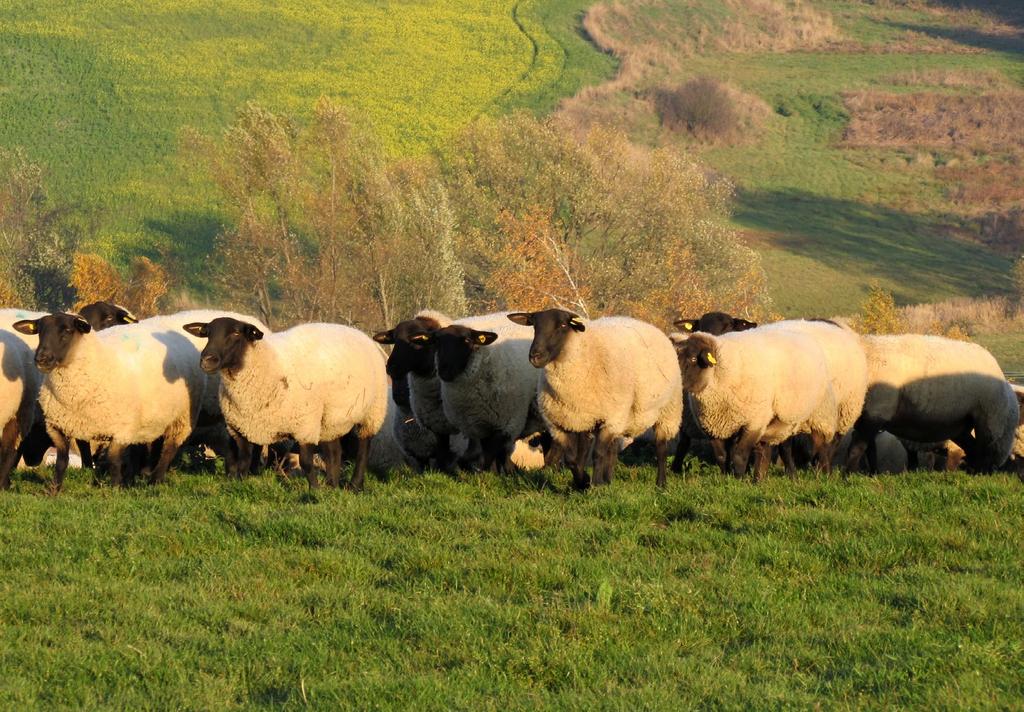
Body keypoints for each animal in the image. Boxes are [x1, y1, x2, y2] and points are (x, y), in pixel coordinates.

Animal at [184, 317, 387, 489]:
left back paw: (355, 485)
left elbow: (306, 461)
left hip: (372, 412)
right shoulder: (241, 428)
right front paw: (239, 483)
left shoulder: (305, 425)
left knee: (363, 449)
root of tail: (357, 332)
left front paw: (314, 490)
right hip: (330, 419)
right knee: (334, 452)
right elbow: (243, 459)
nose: (207, 360)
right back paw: (332, 485)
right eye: (207, 333)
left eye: (235, 333)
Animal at [428, 311, 548, 473]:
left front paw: (493, 473)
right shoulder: (476, 426)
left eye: (467, 340)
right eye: (437, 342)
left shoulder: (507, 423)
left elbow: (491, 453)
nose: (444, 371)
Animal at [505, 311, 679, 489]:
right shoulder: (563, 424)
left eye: (563, 325)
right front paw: (583, 482)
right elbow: (572, 459)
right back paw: (607, 480)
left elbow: (597, 454)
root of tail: (653, 327)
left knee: (661, 448)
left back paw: (661, 483)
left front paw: (595, 484)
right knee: (610, 450)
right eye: (534, 326)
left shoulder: (609, 419)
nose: (535, 356)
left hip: (667, 411)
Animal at [847, 333, 1015, 473]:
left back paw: (979, 473)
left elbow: (859, 446)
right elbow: (866, 447)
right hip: (961, 426)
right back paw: (973, 472)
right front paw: (866, 474)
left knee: (983, 450)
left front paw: (849, 475)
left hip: (988, 417)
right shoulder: (871, 414)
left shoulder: (876, 411)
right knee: (974, 449)